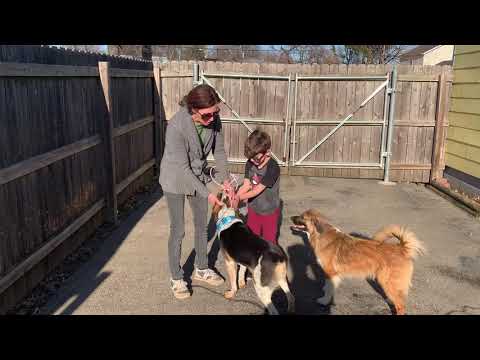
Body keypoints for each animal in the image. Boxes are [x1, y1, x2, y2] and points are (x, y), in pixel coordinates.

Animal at [290, 210, 426, 314]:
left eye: (302, 217)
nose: (291, 217)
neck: (320, 234)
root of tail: (402, 248)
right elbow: (327, 286)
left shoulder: (331, 273)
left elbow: (329, 289)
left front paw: (324, 301)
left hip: (387, 281)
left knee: (401, 306)